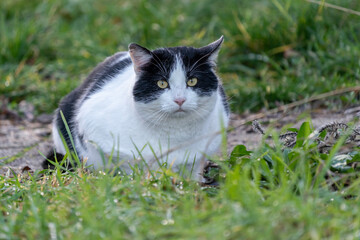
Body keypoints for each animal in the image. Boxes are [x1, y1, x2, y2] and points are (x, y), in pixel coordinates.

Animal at [43, 36, 229, 181]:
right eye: (162, 83)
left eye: (192, 81)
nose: (180, 100)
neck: (176, 134)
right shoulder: (92, 126)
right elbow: (129, 164)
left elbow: (194, 169)